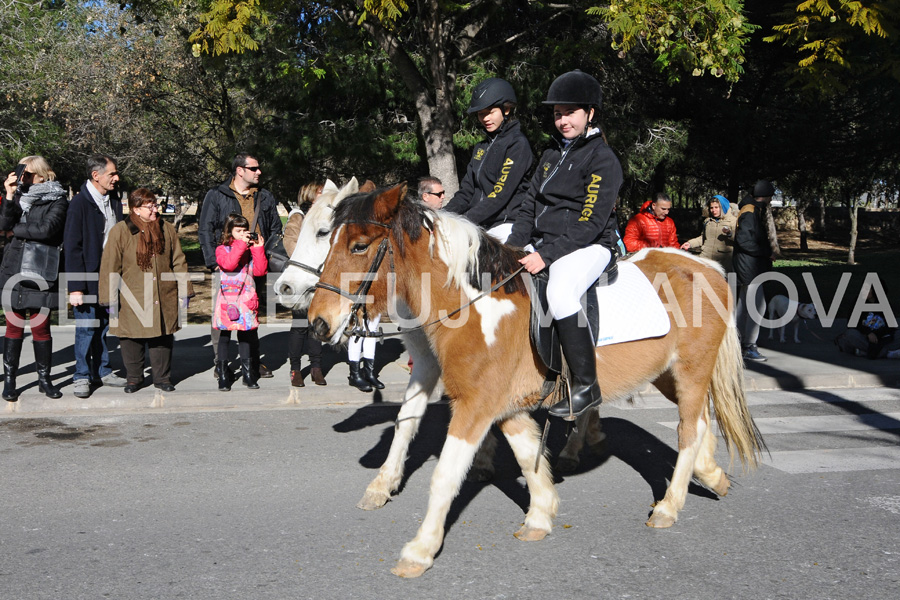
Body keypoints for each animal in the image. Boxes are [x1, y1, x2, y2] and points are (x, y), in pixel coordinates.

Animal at [310, 183, 768, 576]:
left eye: (359, 246)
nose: (317, 323)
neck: (476, 306)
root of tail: (706, 266)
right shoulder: (502, 404)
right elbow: (527, 454)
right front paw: (540, 515)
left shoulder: (475, 405)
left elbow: (445, 476)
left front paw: (419, 550)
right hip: (667, 376)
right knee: (703, 421)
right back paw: (711, 475)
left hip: (691, 370)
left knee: (688, 429)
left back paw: (670, 506)